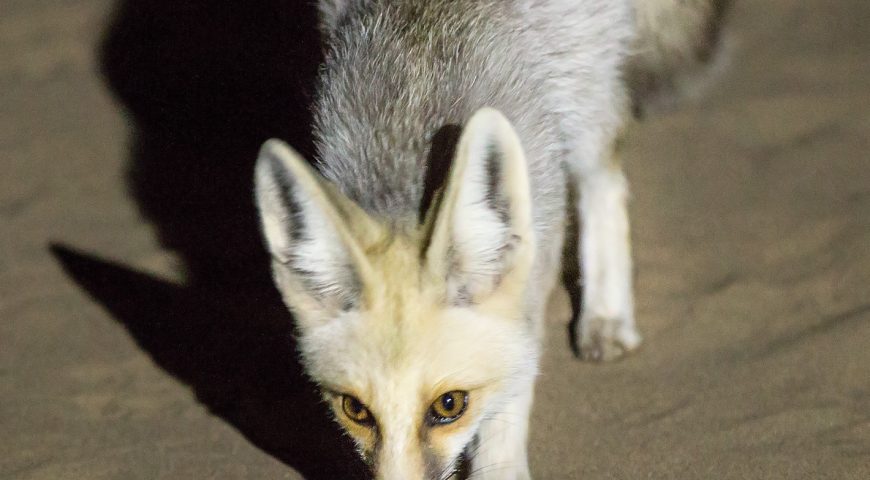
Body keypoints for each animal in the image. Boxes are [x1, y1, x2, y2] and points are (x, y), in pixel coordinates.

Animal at [254, 0, 729, 478]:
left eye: (450, 405)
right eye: (355, 410)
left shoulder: (533, 270)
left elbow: (512, 389)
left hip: (587, 92)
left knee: (604, 180)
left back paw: (607, 314)